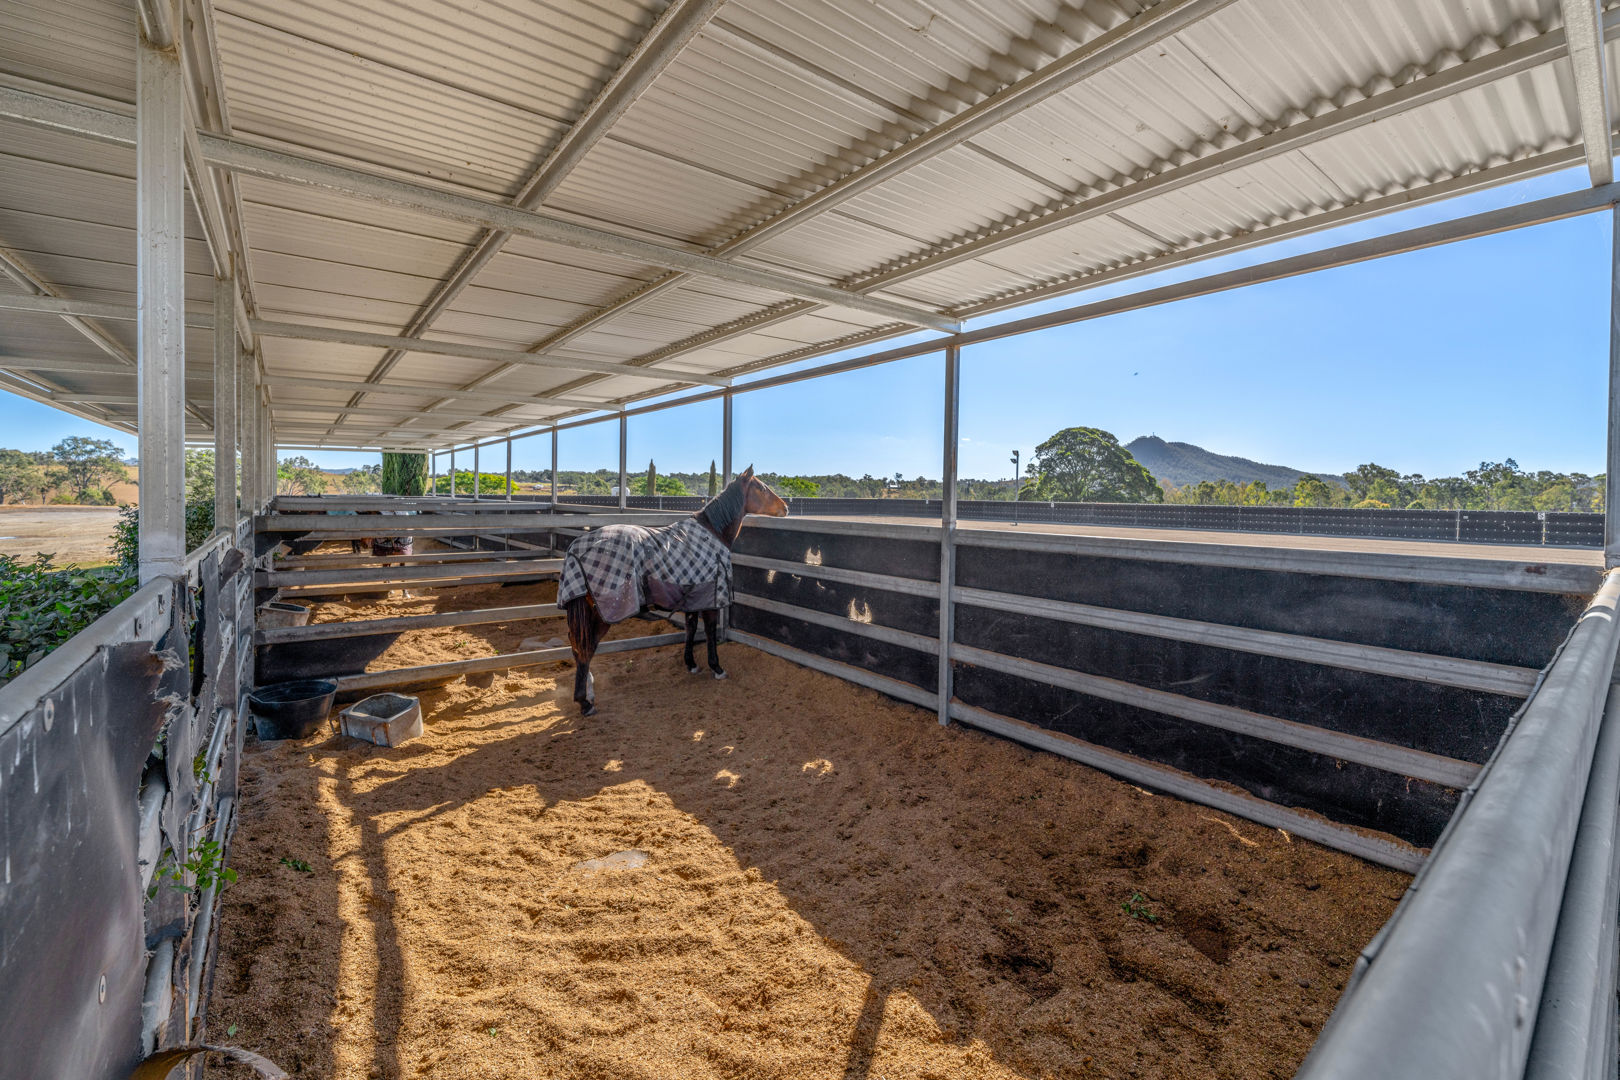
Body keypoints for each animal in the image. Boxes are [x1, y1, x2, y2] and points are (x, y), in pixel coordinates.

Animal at [558, 467, 788, 716]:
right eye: (762, 488)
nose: (786, 507)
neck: (712, 531)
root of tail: (576, 548)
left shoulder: (692, 597)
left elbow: (690, 628)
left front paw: (691, 664)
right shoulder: (709, 598)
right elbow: (709, 631)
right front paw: (716, 667)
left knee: (578, 647)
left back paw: (588, 693)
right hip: (603, 614)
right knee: (586, 649)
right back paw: (585, 702)